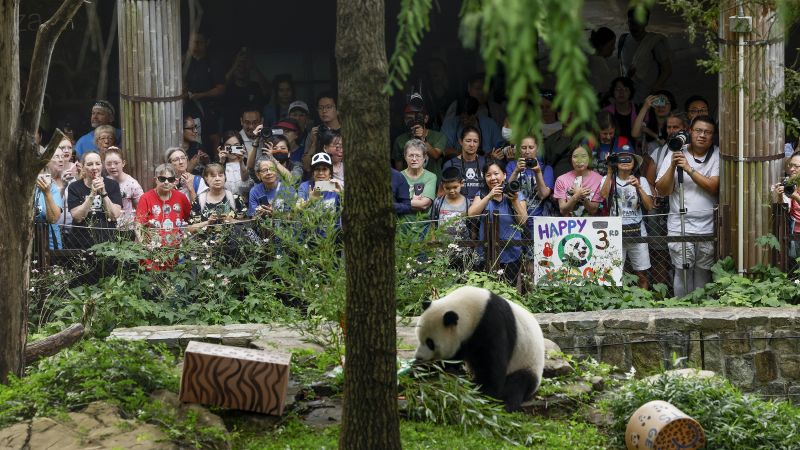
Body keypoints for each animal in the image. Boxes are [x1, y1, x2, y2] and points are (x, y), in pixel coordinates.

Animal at [414, 285, 545, 412]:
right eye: (419, 338)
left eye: (430, 343)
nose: (419, 357)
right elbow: (453, 359)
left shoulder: (493, 325)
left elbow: (492, 365)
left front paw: (485, 393)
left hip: (528, 363)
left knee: (518, 383)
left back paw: (506, 403)